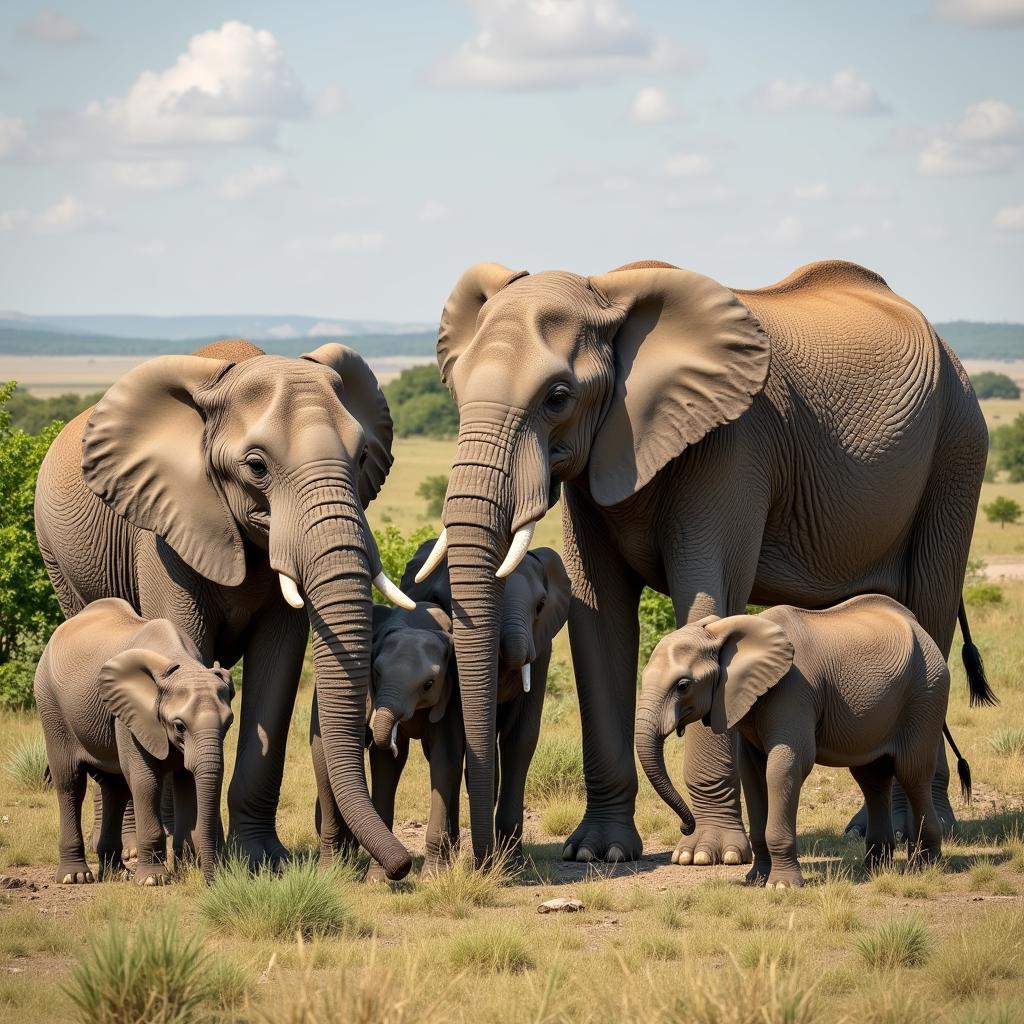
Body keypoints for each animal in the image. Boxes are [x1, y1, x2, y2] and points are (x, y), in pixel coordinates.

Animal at [35, 598, 234, 884]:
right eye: (179, 726)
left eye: (228, 724)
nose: (212, 882)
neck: (179, 664)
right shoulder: (128, 716)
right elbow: (145, 780)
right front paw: (154, 880)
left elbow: (186, 779)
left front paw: (185, 868)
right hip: (50, 704)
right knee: (70, 783)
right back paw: (75, 877)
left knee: (114, 787)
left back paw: (116, 873)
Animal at [634, 593, 970, 888]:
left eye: (682, 686)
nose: (685, 825)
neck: (725, 632)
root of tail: (919, 628)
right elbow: (752, 773)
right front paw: (755, 880)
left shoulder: (794, 690)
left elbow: (785, 767)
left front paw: (782, 886)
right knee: (872, 777)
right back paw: (875, 868)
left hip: (926, 692)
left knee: (912, 772)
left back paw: (925, 866)